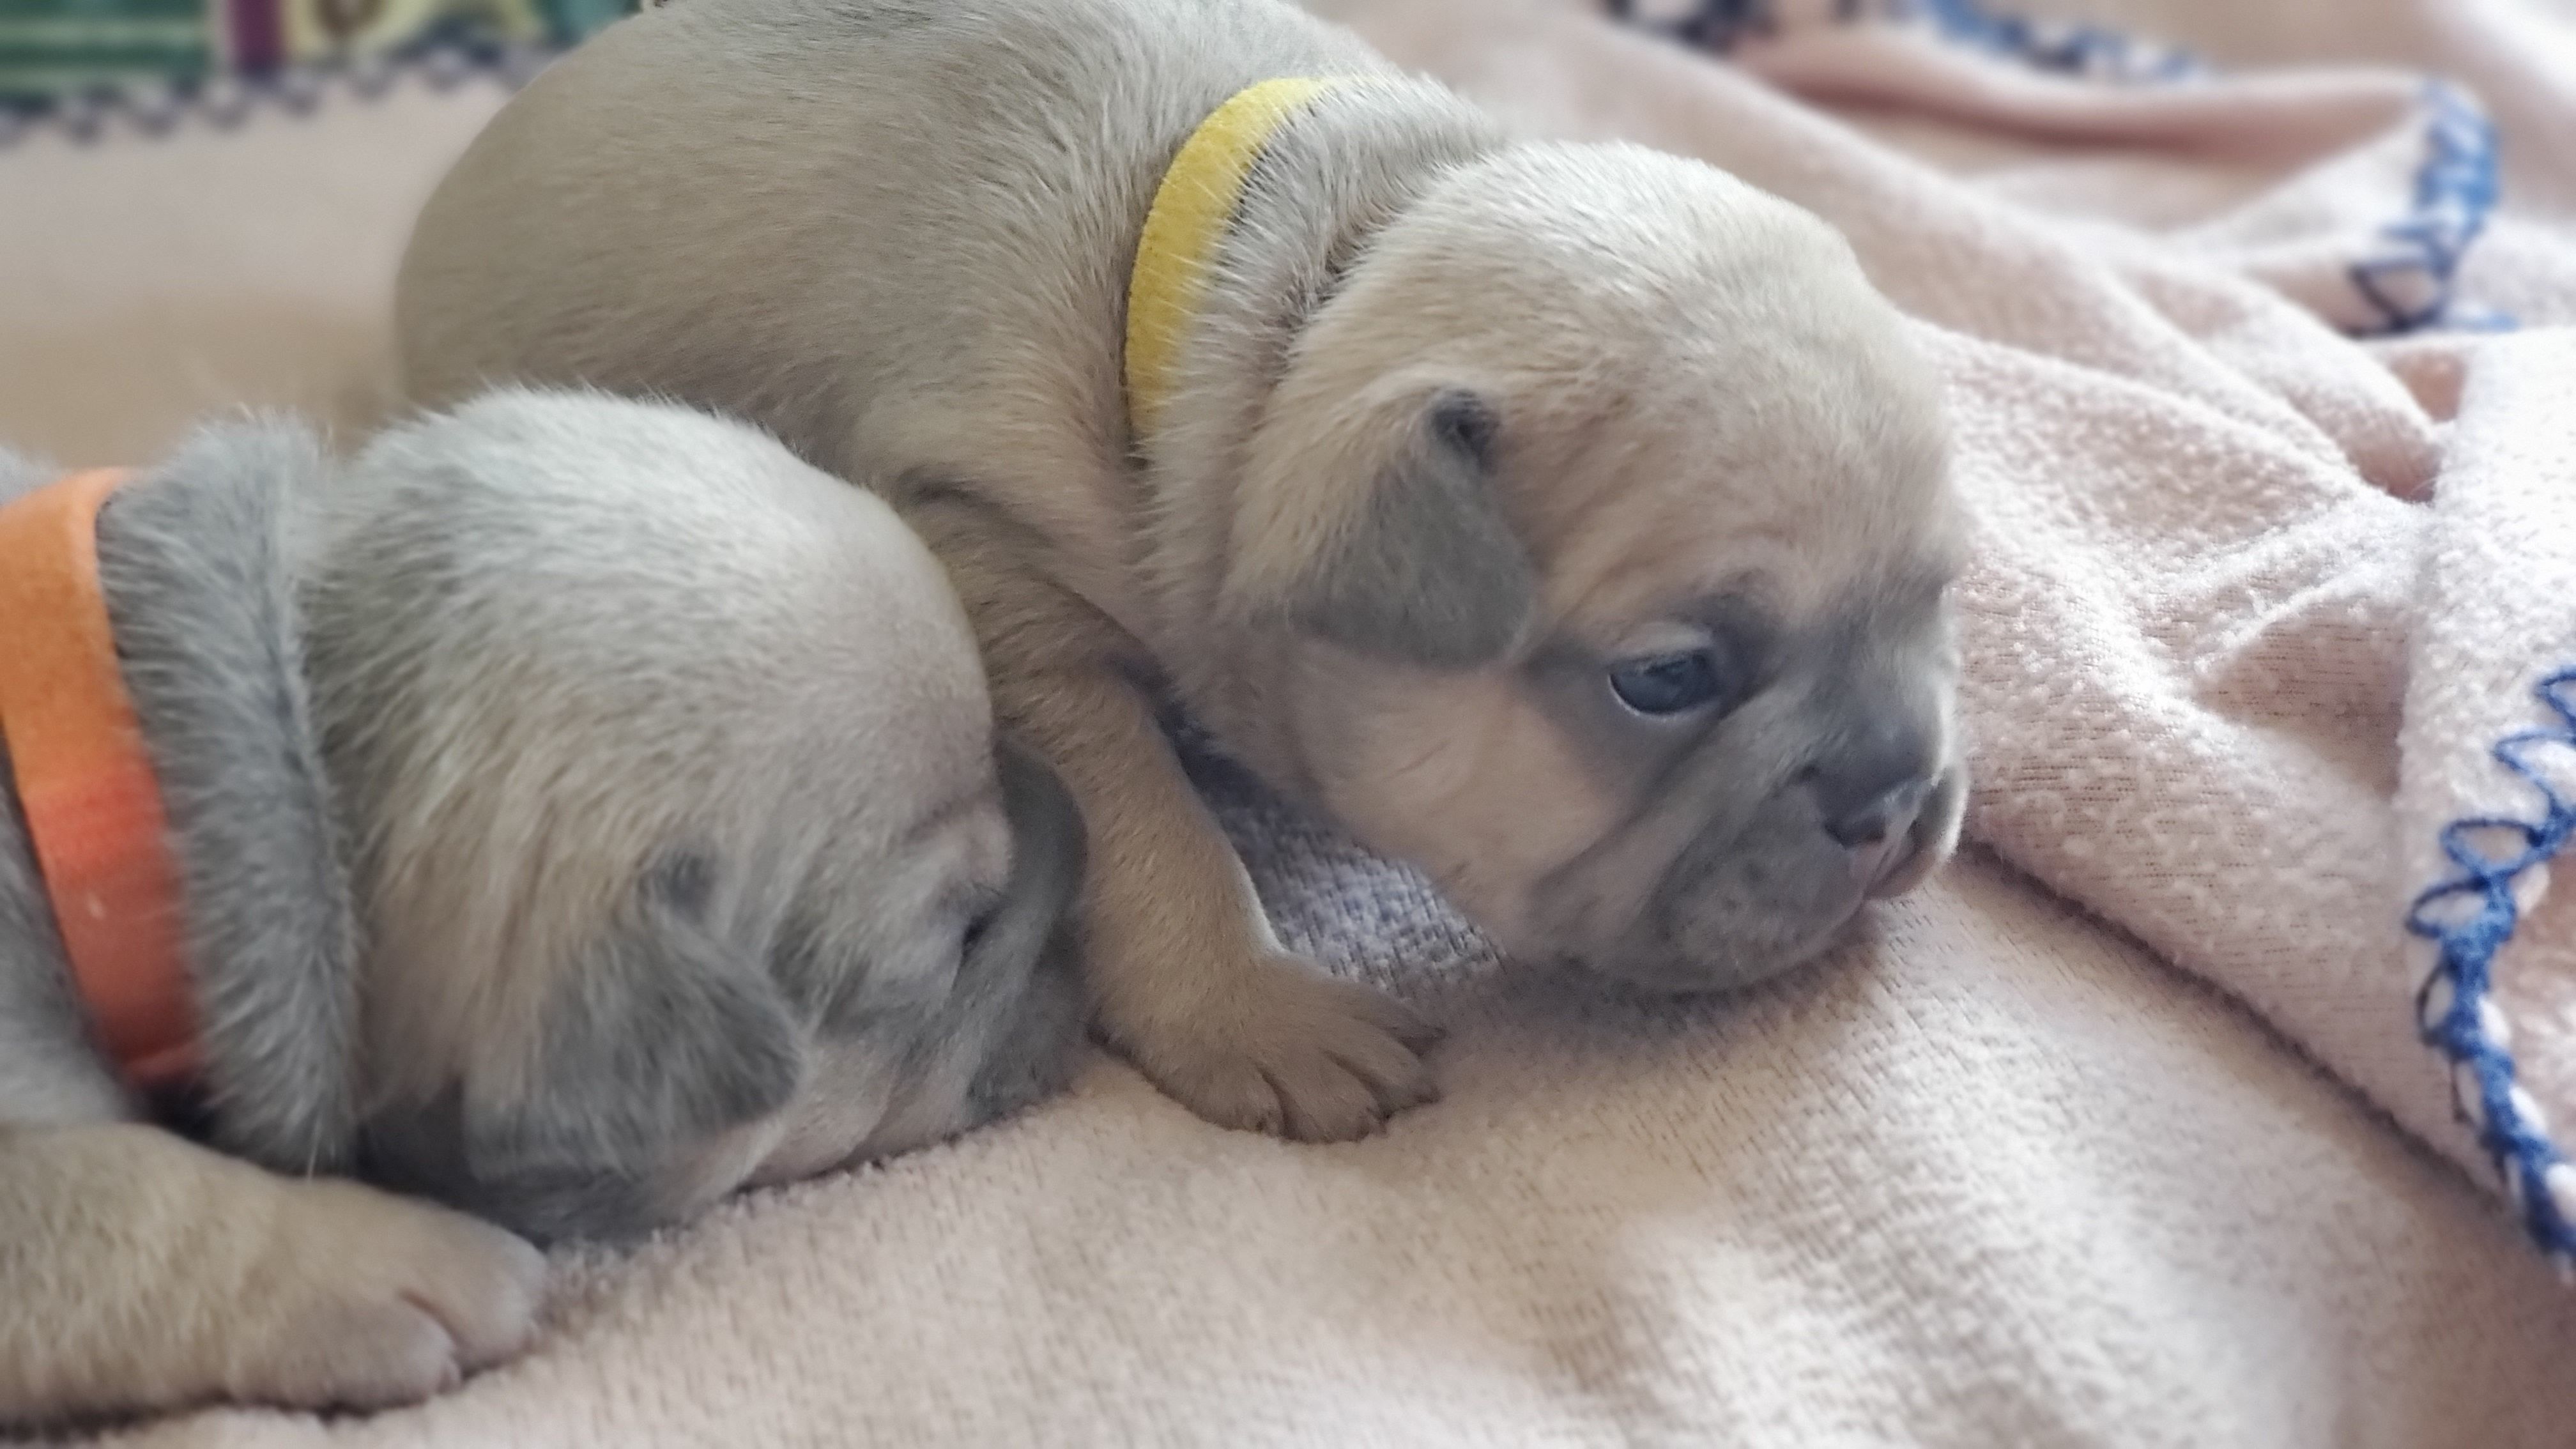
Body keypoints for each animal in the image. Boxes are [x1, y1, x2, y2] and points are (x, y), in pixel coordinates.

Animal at [396, 0, 1968, 1139]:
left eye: (1945, 597)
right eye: (1668, 679)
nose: (1897, 797)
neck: (1316, 273)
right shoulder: (1000, 578)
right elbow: (1149, 828)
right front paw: (1260, 1010)